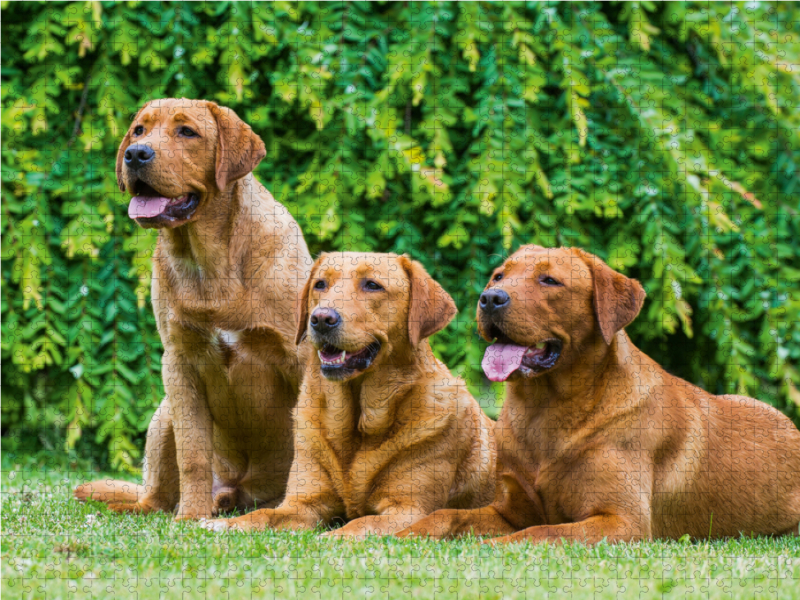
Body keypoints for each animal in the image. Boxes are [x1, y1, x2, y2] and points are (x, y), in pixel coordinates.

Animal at [75, 99, 310, 520]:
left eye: (187, 132)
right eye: (138, 130)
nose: (136, 154)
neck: (212, 261)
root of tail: (241, 491)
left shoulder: (300, 360)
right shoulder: (180, 363)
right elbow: (194, 455)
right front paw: (190, 518)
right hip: (164, 413)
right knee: (152, 498)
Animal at [205, 253, 500, 540]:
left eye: (372, 285)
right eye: (320, 284)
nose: (321, 319)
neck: (356, 422)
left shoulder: (409, 509)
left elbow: (363, 523)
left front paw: (333, 537)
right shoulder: (303, 503)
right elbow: (264, 514)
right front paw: (226, 523)